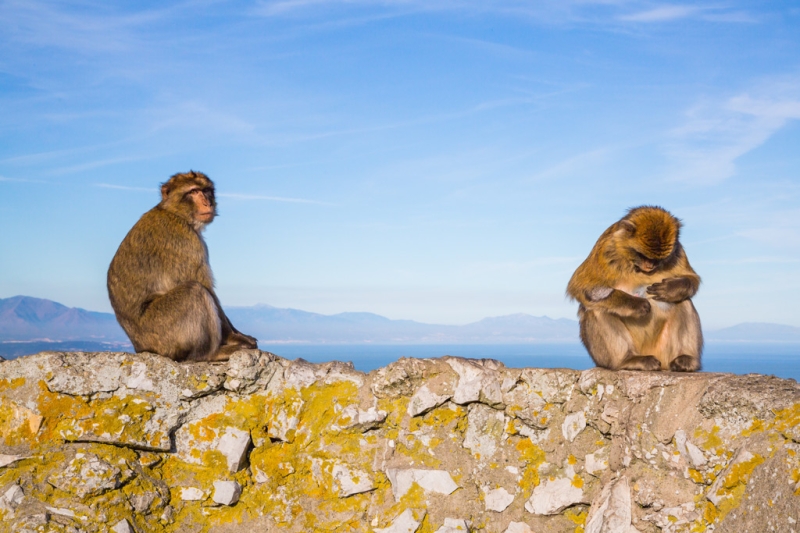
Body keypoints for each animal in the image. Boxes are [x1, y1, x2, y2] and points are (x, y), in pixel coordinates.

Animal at [106, 170, 256, 362]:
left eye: (206, 191)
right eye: (193, 191)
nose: (207, 202)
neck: (175, 212)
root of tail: (141, 347)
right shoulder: (185, 241)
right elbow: (205, 287)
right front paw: (234, 337)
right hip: (164, 330)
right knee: (194, 291)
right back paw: (211, 353)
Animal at [564, 206, 704, 372]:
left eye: (658, 259)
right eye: (642, 255)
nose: (650, 266)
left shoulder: (678, 251)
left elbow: (691, 278)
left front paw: (672, 288)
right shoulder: (606, 248)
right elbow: (582, 286)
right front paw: (636, 304)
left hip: (664, 353)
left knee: (683, 301)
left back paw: (686, 359)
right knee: (597, 309)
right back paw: (627, 360)